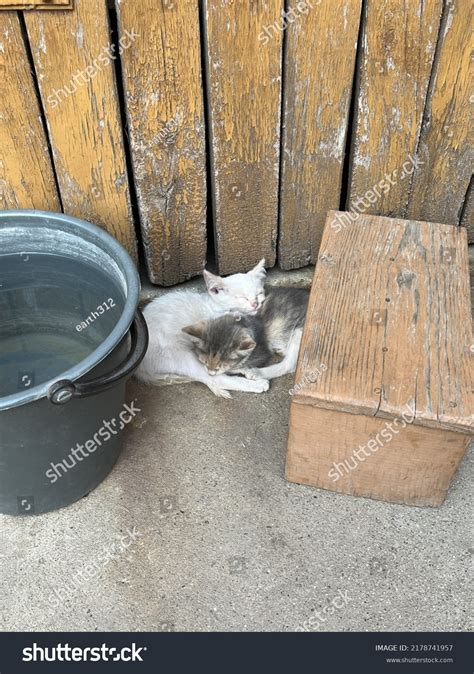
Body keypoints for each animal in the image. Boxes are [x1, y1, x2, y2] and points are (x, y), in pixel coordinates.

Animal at [137, 256, 270, 394]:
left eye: (259, 294)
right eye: (242, 297)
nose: (255, 304)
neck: (215, 306)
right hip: (173, 353)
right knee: (214, 378)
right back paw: (256, 384)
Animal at [182, 288, 312, 384]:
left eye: (220, 365)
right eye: (205, 360)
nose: (210, 372)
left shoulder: (261, 351)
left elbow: (236, 365)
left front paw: (239, 368)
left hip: (301, 330)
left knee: (290, 365)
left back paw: (256, 372)